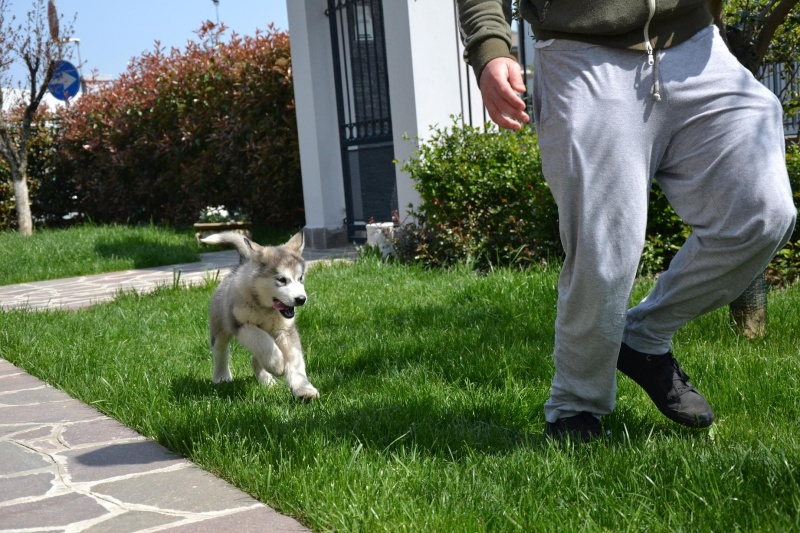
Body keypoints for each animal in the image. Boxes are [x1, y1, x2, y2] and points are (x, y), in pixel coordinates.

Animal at [200, 231, 318, 396]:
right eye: (281, 279)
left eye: (300, 278)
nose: (301, 299)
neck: (265, 307)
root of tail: (241, 264)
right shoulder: (241, 325)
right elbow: (262, 341)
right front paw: (277, 364)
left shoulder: (286, 330)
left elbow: (296, 360)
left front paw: (303, 389)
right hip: (219, 328)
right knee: (220, 352)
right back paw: (221, 377)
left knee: (256, 359)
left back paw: (267, 381)